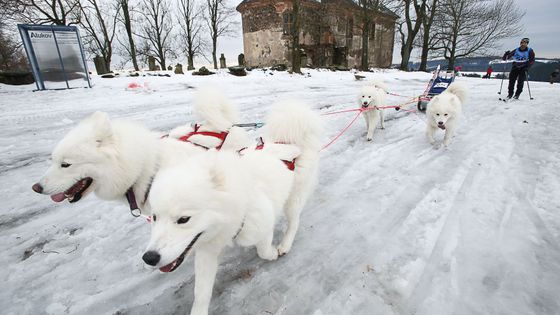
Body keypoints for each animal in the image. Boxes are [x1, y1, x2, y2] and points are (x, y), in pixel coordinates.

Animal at [142, 100, 322, 315]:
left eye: (183, 219)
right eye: (154, 217)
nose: (149, 258)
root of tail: (287, 141)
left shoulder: (262, 224)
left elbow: (262, 250)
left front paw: (271, 254)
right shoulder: (207, 251)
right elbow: (201, 292)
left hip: (293, 198)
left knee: (294, 221)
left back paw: (285, 245)